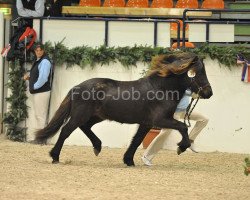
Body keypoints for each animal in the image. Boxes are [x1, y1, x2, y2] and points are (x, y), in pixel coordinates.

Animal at [35, 51, 213, 166]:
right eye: (198, 73)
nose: (209, 93)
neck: (161, 89)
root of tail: (76, 87)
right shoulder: (160, 120)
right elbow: (183, 126)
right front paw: (181, 147)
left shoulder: (147, 123)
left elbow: (136, 140)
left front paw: (129, 160)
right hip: (81, 114)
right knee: (66, 130)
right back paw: (55, 157)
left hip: (96, 116)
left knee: (84, 127)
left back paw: (97, 147)